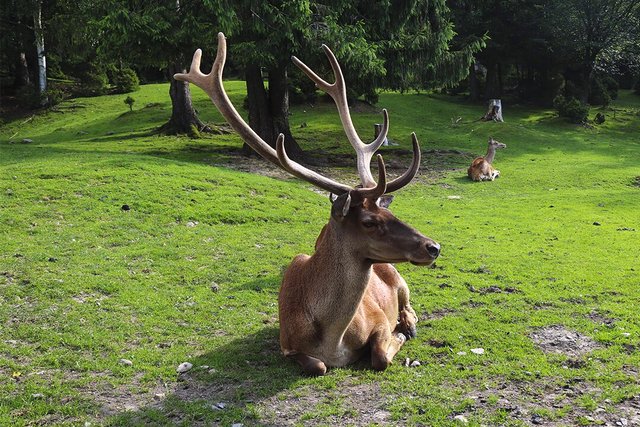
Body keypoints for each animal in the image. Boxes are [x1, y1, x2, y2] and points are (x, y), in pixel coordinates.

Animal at [175, 32, 440, 374]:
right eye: (369, 222)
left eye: (388, 209)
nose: (433, 247)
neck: (333, 340)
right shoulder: (288, 345)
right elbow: (318, 365)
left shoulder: (379, 319)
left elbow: (380, 355)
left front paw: (402, 333)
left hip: (399, 277)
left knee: (409, 302)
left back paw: (409, 322)